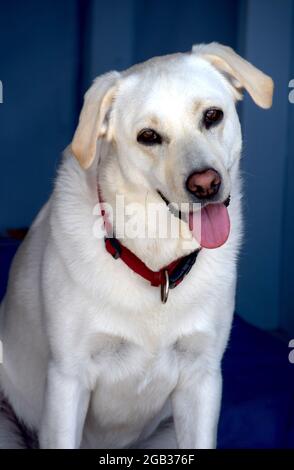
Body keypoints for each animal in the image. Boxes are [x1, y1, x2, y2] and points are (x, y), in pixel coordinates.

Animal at [0, 43, 274, 448]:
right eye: (148, 136)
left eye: (212, 116)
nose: (206, 184)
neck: (156, 260)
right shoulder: (68, 380)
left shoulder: (202, 379)